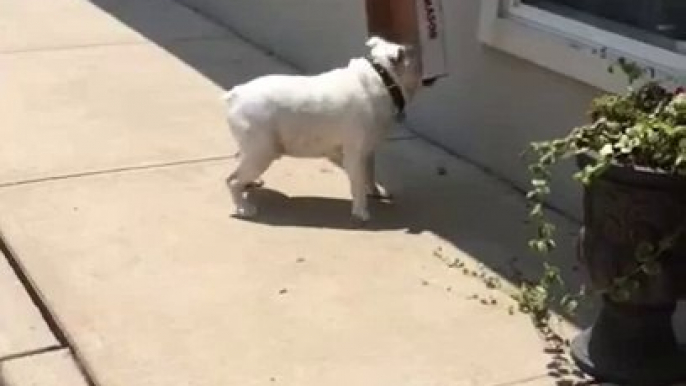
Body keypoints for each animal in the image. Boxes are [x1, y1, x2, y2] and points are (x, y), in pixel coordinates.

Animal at [226, 37, 422, 223]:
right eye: (418, 60)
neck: (383, 77)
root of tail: (235, 95)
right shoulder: (355, 155)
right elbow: (358, 184)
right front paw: (361, 212)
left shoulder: (367, 151)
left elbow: (369, 173)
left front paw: (375, 191)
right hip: (263, 151)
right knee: (232, 181)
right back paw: (243, 208)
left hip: (254, 148)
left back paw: (250, 184)